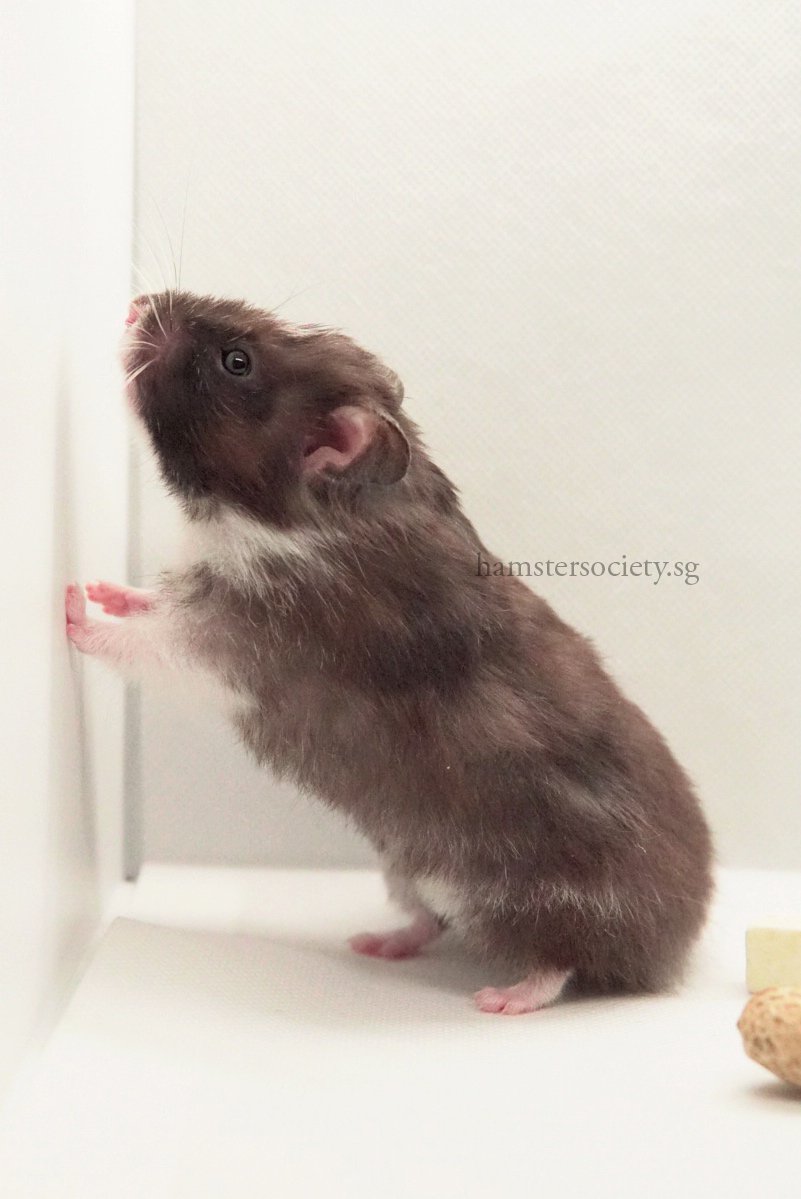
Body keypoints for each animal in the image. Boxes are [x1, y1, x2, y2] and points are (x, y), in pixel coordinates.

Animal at [66, 290, 714, 1015]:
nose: (135, 304)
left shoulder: (245, 641)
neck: (312, 517)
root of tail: (671, 953)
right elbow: (146, 607)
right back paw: (378, 942)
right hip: (406, 866)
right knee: (431, 920)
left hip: (537, 894)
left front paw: (72, 604)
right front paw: (106, 590)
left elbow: (150, 645)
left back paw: (504, 997)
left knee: (562, 960)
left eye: (237, 362)